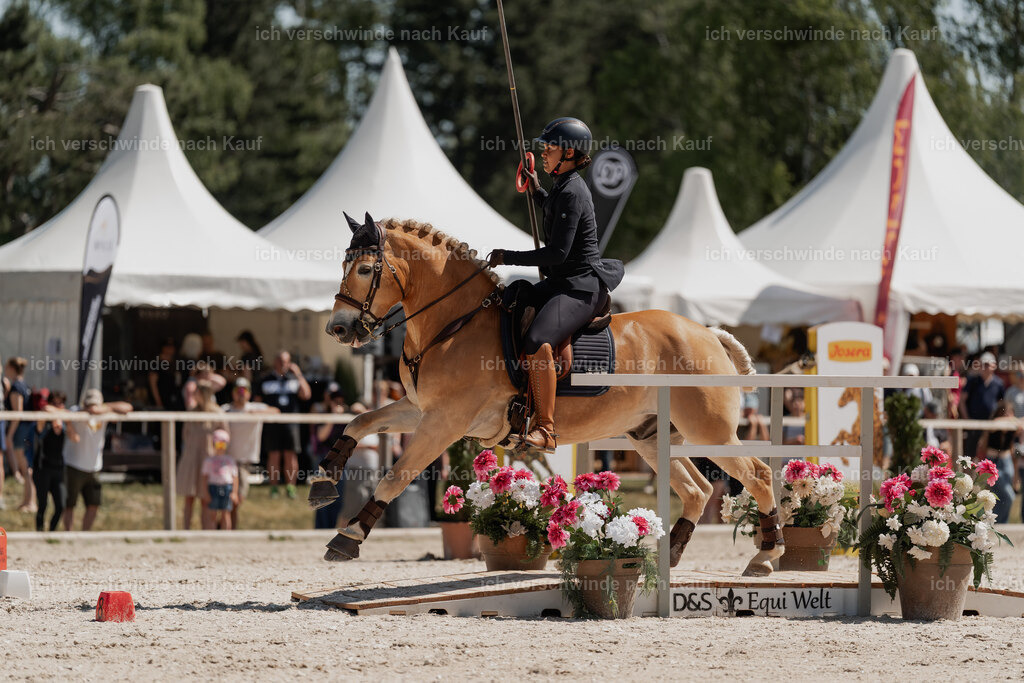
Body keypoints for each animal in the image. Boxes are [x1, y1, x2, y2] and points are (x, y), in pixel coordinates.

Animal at [311, 213, 785, 576]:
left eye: (365, 270)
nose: (338, 329)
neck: (453, 323)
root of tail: (708, 333)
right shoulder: (419, 409)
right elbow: (360, 421)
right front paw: (324, 480)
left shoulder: (444, 422)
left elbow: (397, 474)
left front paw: (349, 535)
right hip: (650, 437)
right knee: (698, 490)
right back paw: (669, 556)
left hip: (709, 431)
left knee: (758, 475)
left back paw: (766, 555)